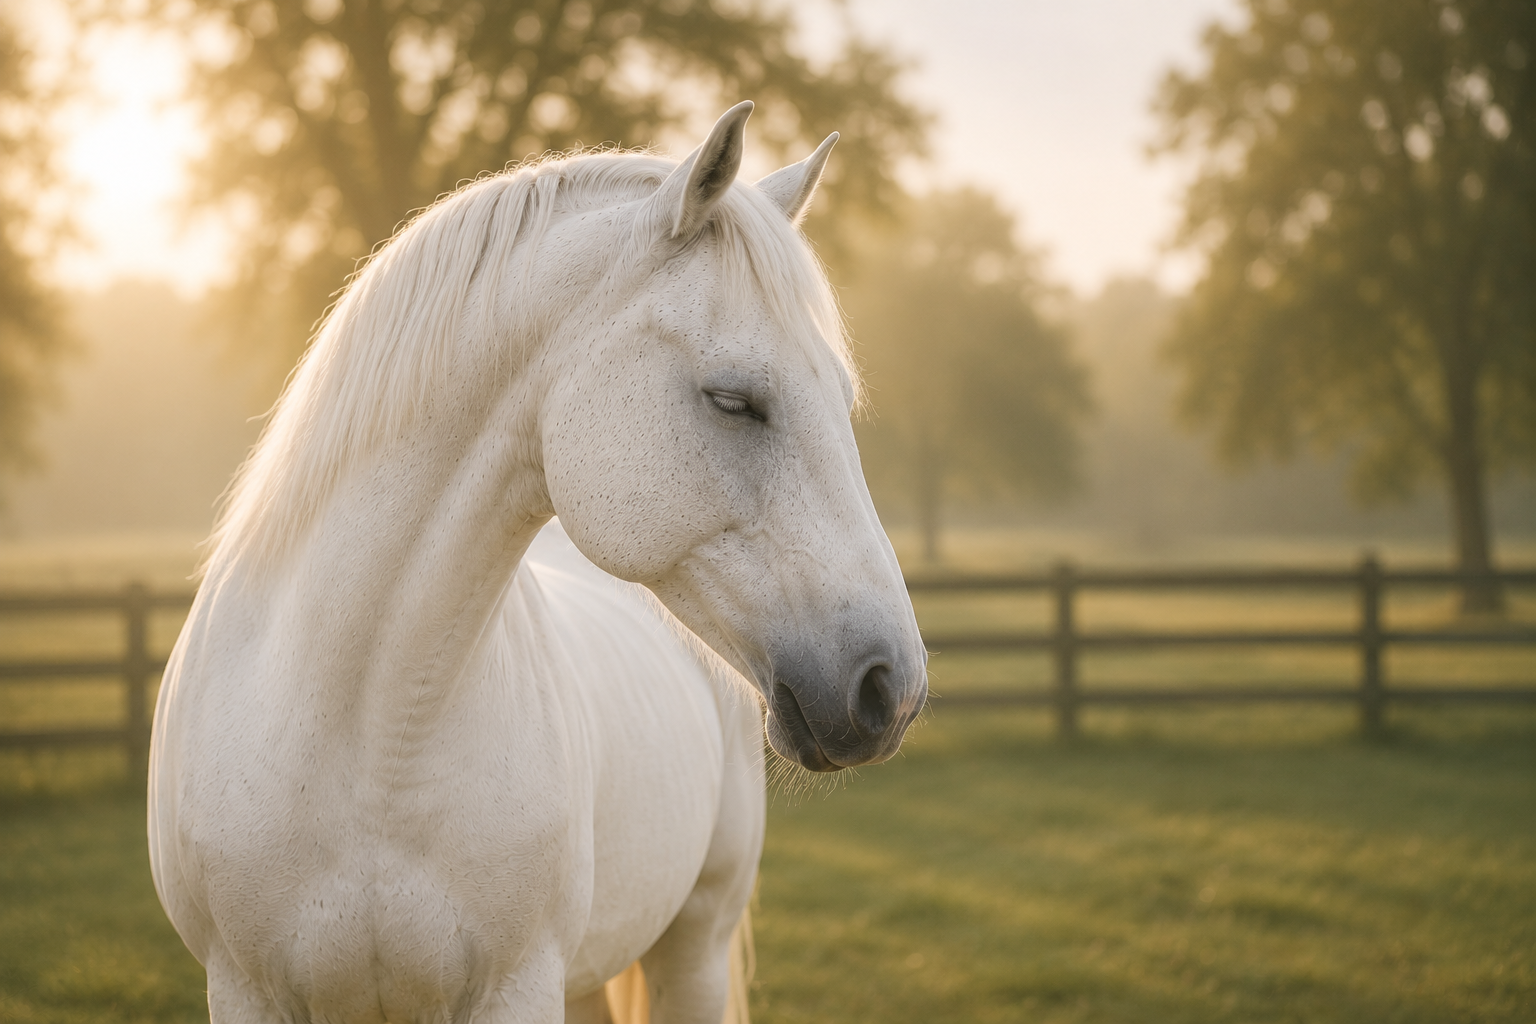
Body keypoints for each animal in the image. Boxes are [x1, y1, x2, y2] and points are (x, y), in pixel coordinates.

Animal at [148, 102, 928, 1024]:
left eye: (843, 399)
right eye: (734, 400)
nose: (891, 688)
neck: (363, 742)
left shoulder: (517, 986)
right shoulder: (243, 989)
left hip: (692, 946)